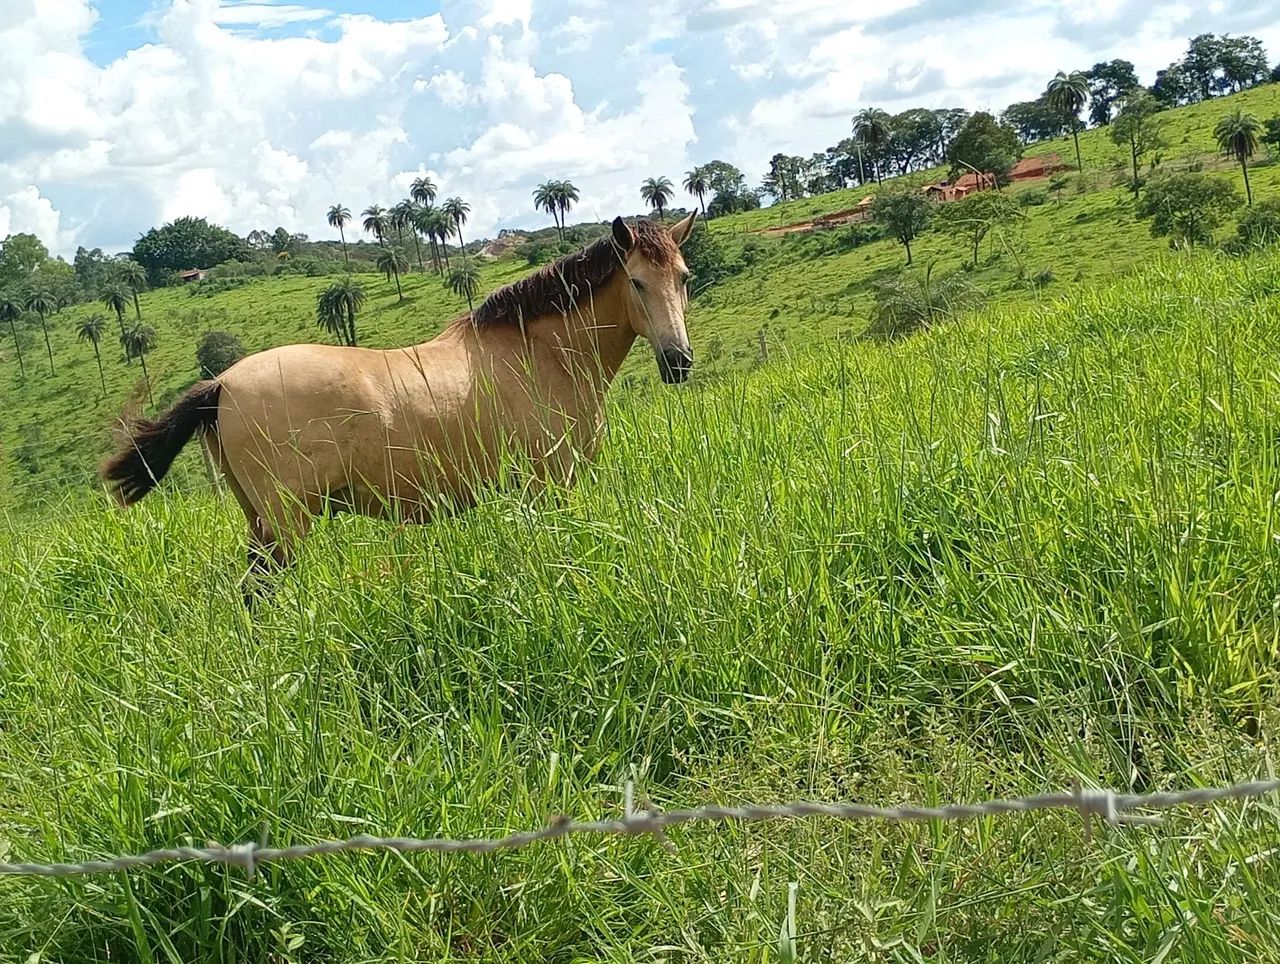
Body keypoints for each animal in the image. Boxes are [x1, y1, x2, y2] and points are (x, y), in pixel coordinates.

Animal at [100, 213, 697, 585]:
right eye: (637, 282)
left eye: (684, 277)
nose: (679, 362)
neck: (542, 351)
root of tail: (221, 383)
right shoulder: (552, 483)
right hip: (285, 526)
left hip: (259, 522)